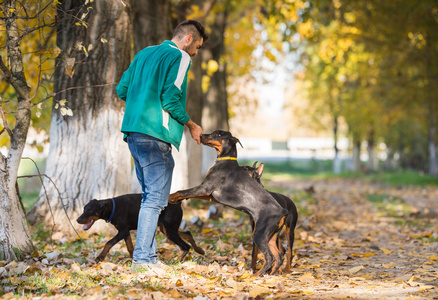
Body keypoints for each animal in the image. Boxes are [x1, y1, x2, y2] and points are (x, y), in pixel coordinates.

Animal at [76, 195, 204, 262]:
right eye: (84, 209)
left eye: (90, 210)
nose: (77, 220)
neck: (112, 207)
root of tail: (177, 203)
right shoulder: (125, 232)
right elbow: (130, 247)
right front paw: (133, 259)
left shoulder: (122, 231)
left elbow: (108, 243)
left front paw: (100, 257)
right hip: (167, 229)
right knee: (188, 234)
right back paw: (200, 250)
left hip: (170, 230)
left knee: (185, 246)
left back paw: (178, 261)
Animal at [168, 130, 288, 276]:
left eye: (219, 134)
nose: (201, 135)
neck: (224, 161)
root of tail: (282, 210)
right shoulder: (210, 195)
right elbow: (187, 194)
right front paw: (175, 199)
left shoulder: (206, 187)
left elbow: (182, 191)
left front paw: (170, 197)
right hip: (271, 236)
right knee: (279, 257)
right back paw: (270, 274)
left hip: (259, 234)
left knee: (270, 257)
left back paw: (255, 275)